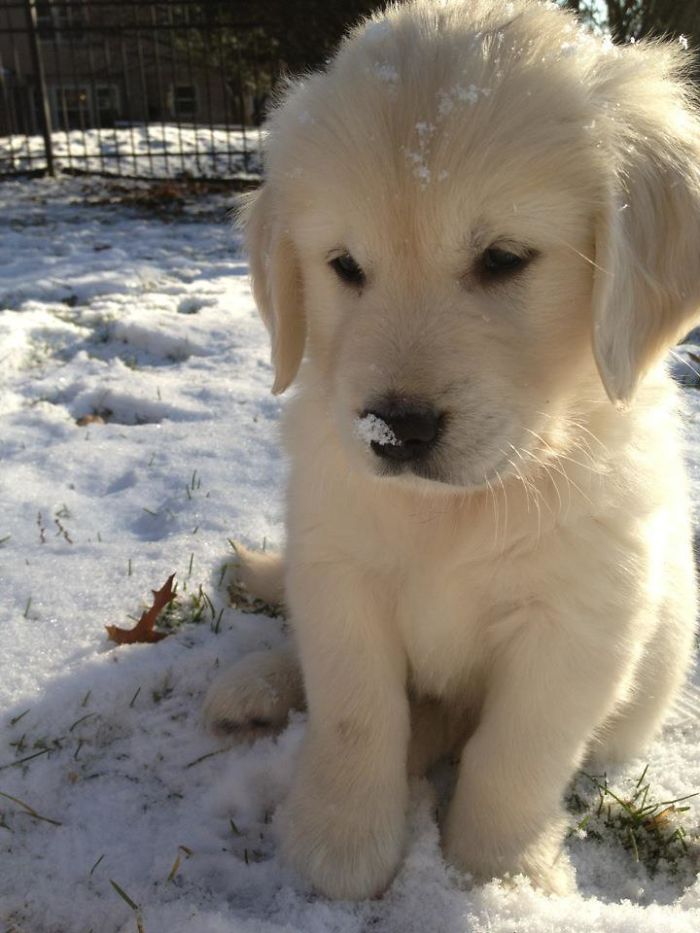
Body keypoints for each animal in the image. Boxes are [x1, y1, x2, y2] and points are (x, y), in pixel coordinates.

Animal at [204, 0, 700, 900]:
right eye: (344, 265)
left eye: (504, 258)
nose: (393, 428)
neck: (456, 512)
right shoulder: (337, 570)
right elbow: (356, 712)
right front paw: (340, 845)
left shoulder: (580, 621)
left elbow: (517, 751)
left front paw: (501, 874)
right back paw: (255, 683)